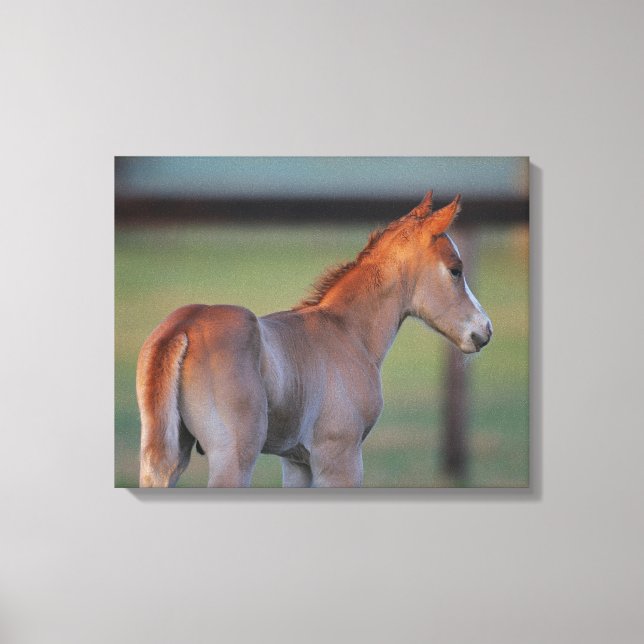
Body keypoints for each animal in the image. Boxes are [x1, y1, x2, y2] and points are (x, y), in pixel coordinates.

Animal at [137, 191, 492, 488]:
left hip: (165, 456)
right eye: (455, 269)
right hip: (234, 456)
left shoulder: (297, 462)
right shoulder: (340, 457)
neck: (347, 332)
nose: (485, 330)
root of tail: (183, 327)